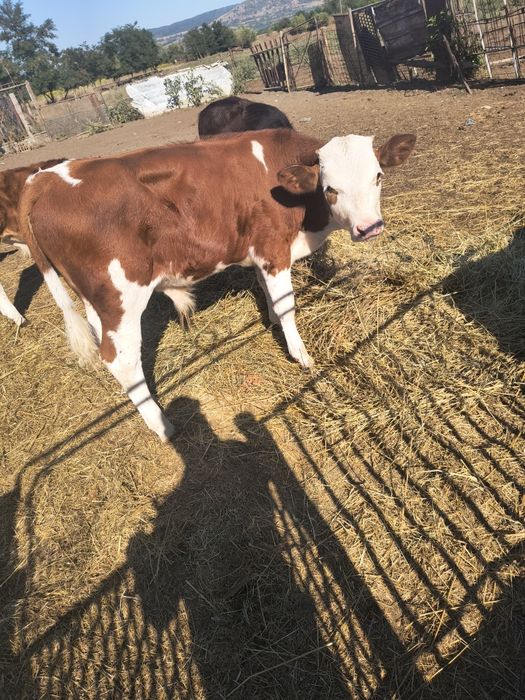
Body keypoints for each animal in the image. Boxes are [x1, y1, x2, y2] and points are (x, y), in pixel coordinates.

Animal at [19, 129, 415, 440]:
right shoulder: (273, 248)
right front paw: (300, 354)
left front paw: (273, 323)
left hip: (95, 300)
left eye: (378, 176)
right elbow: (287, 305)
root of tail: (44, 178)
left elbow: (269, 295)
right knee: (121, 359)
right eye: (330, 188)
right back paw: (163, 425)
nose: (369, 227)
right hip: (121, 296)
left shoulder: (261, 254)